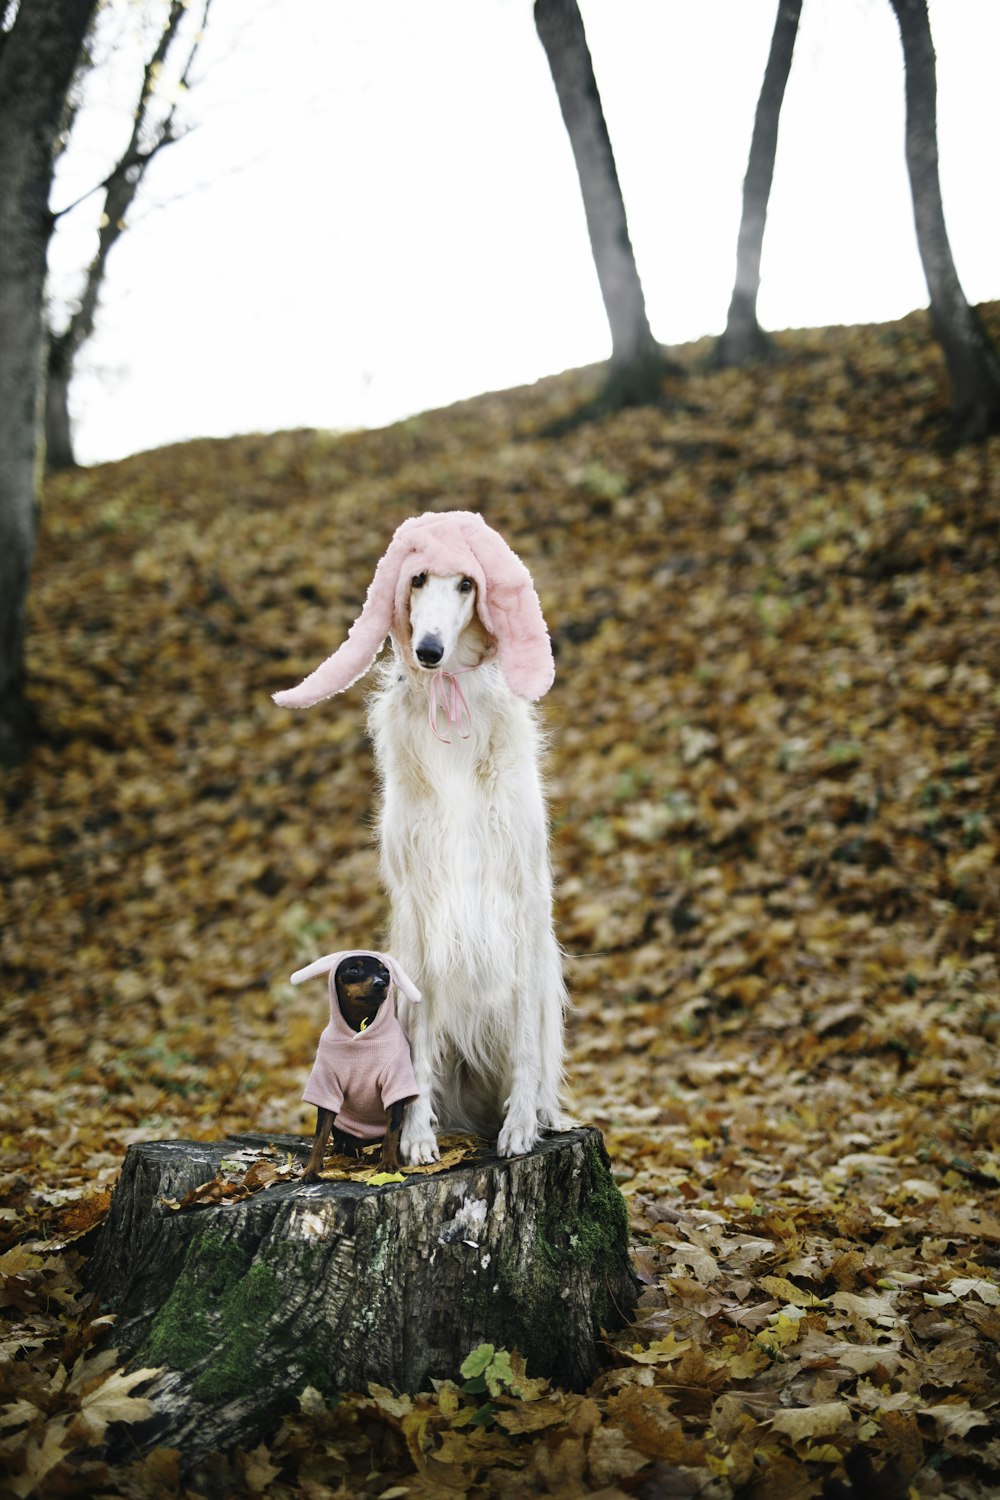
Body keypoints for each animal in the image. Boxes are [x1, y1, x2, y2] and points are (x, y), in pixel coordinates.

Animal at [302, 954, 416, 1176]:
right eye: (354, 970)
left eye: (385, 972)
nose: (380, 984)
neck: (360, 1028)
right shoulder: (326, 1089)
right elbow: (319, 1135)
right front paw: (311, 1169)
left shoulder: (395, 1085)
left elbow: (391, 1131)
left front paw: (388, 1163)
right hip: (340, 1120)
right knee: (339, 1139)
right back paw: (339, 1152)